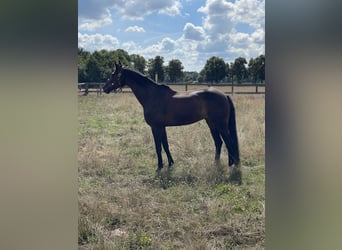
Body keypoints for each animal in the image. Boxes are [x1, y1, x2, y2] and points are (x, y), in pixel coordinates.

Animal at [103, 62, 239, 172]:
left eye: (113, 74)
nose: (104, 88)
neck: (152, 96)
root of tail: (224, 95)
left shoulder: (155, 127)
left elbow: (158, 147)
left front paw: (159, 166)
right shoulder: (162, 127)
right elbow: (165, 145)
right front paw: (170, 163)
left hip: (221, 125)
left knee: (229, 142)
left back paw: (232, 165)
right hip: (211, 124)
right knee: (219, 142)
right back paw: (217, 164)